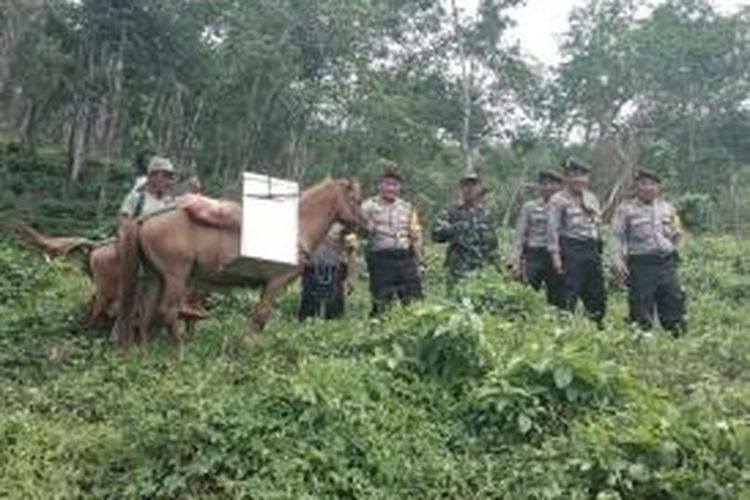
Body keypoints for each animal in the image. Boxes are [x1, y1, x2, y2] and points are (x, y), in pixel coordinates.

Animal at [114, 179, 364, 348]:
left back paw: (144, 351)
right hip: (176, 277)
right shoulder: (275, 282)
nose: (364, 225)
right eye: (356, 200)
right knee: (167, 311)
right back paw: (179, 351)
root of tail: (147, 218)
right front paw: (250, 347)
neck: (295, 228)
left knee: (145, 314)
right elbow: (260, 316)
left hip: (155, 276)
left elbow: (259, 318)